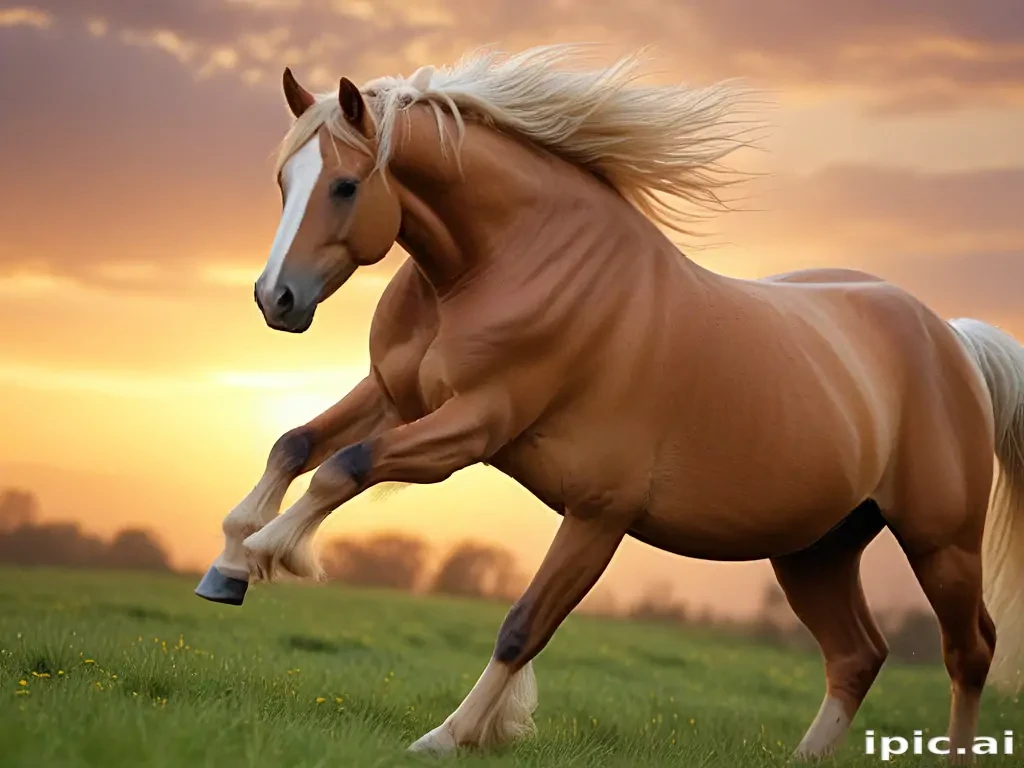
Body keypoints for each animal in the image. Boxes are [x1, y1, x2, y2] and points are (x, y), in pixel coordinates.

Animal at [194, 44, 1024, 760]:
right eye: (284, 181)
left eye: (344, 185)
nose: (276, 299)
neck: (503, 266)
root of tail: (951, 338)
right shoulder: (400, 397)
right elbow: (297, 443)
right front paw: (229, 562)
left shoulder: (503, 445)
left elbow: (508, 613)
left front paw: (440, 731)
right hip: (814, 550)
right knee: (858, 654)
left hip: (939, 542)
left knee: (968, 649)